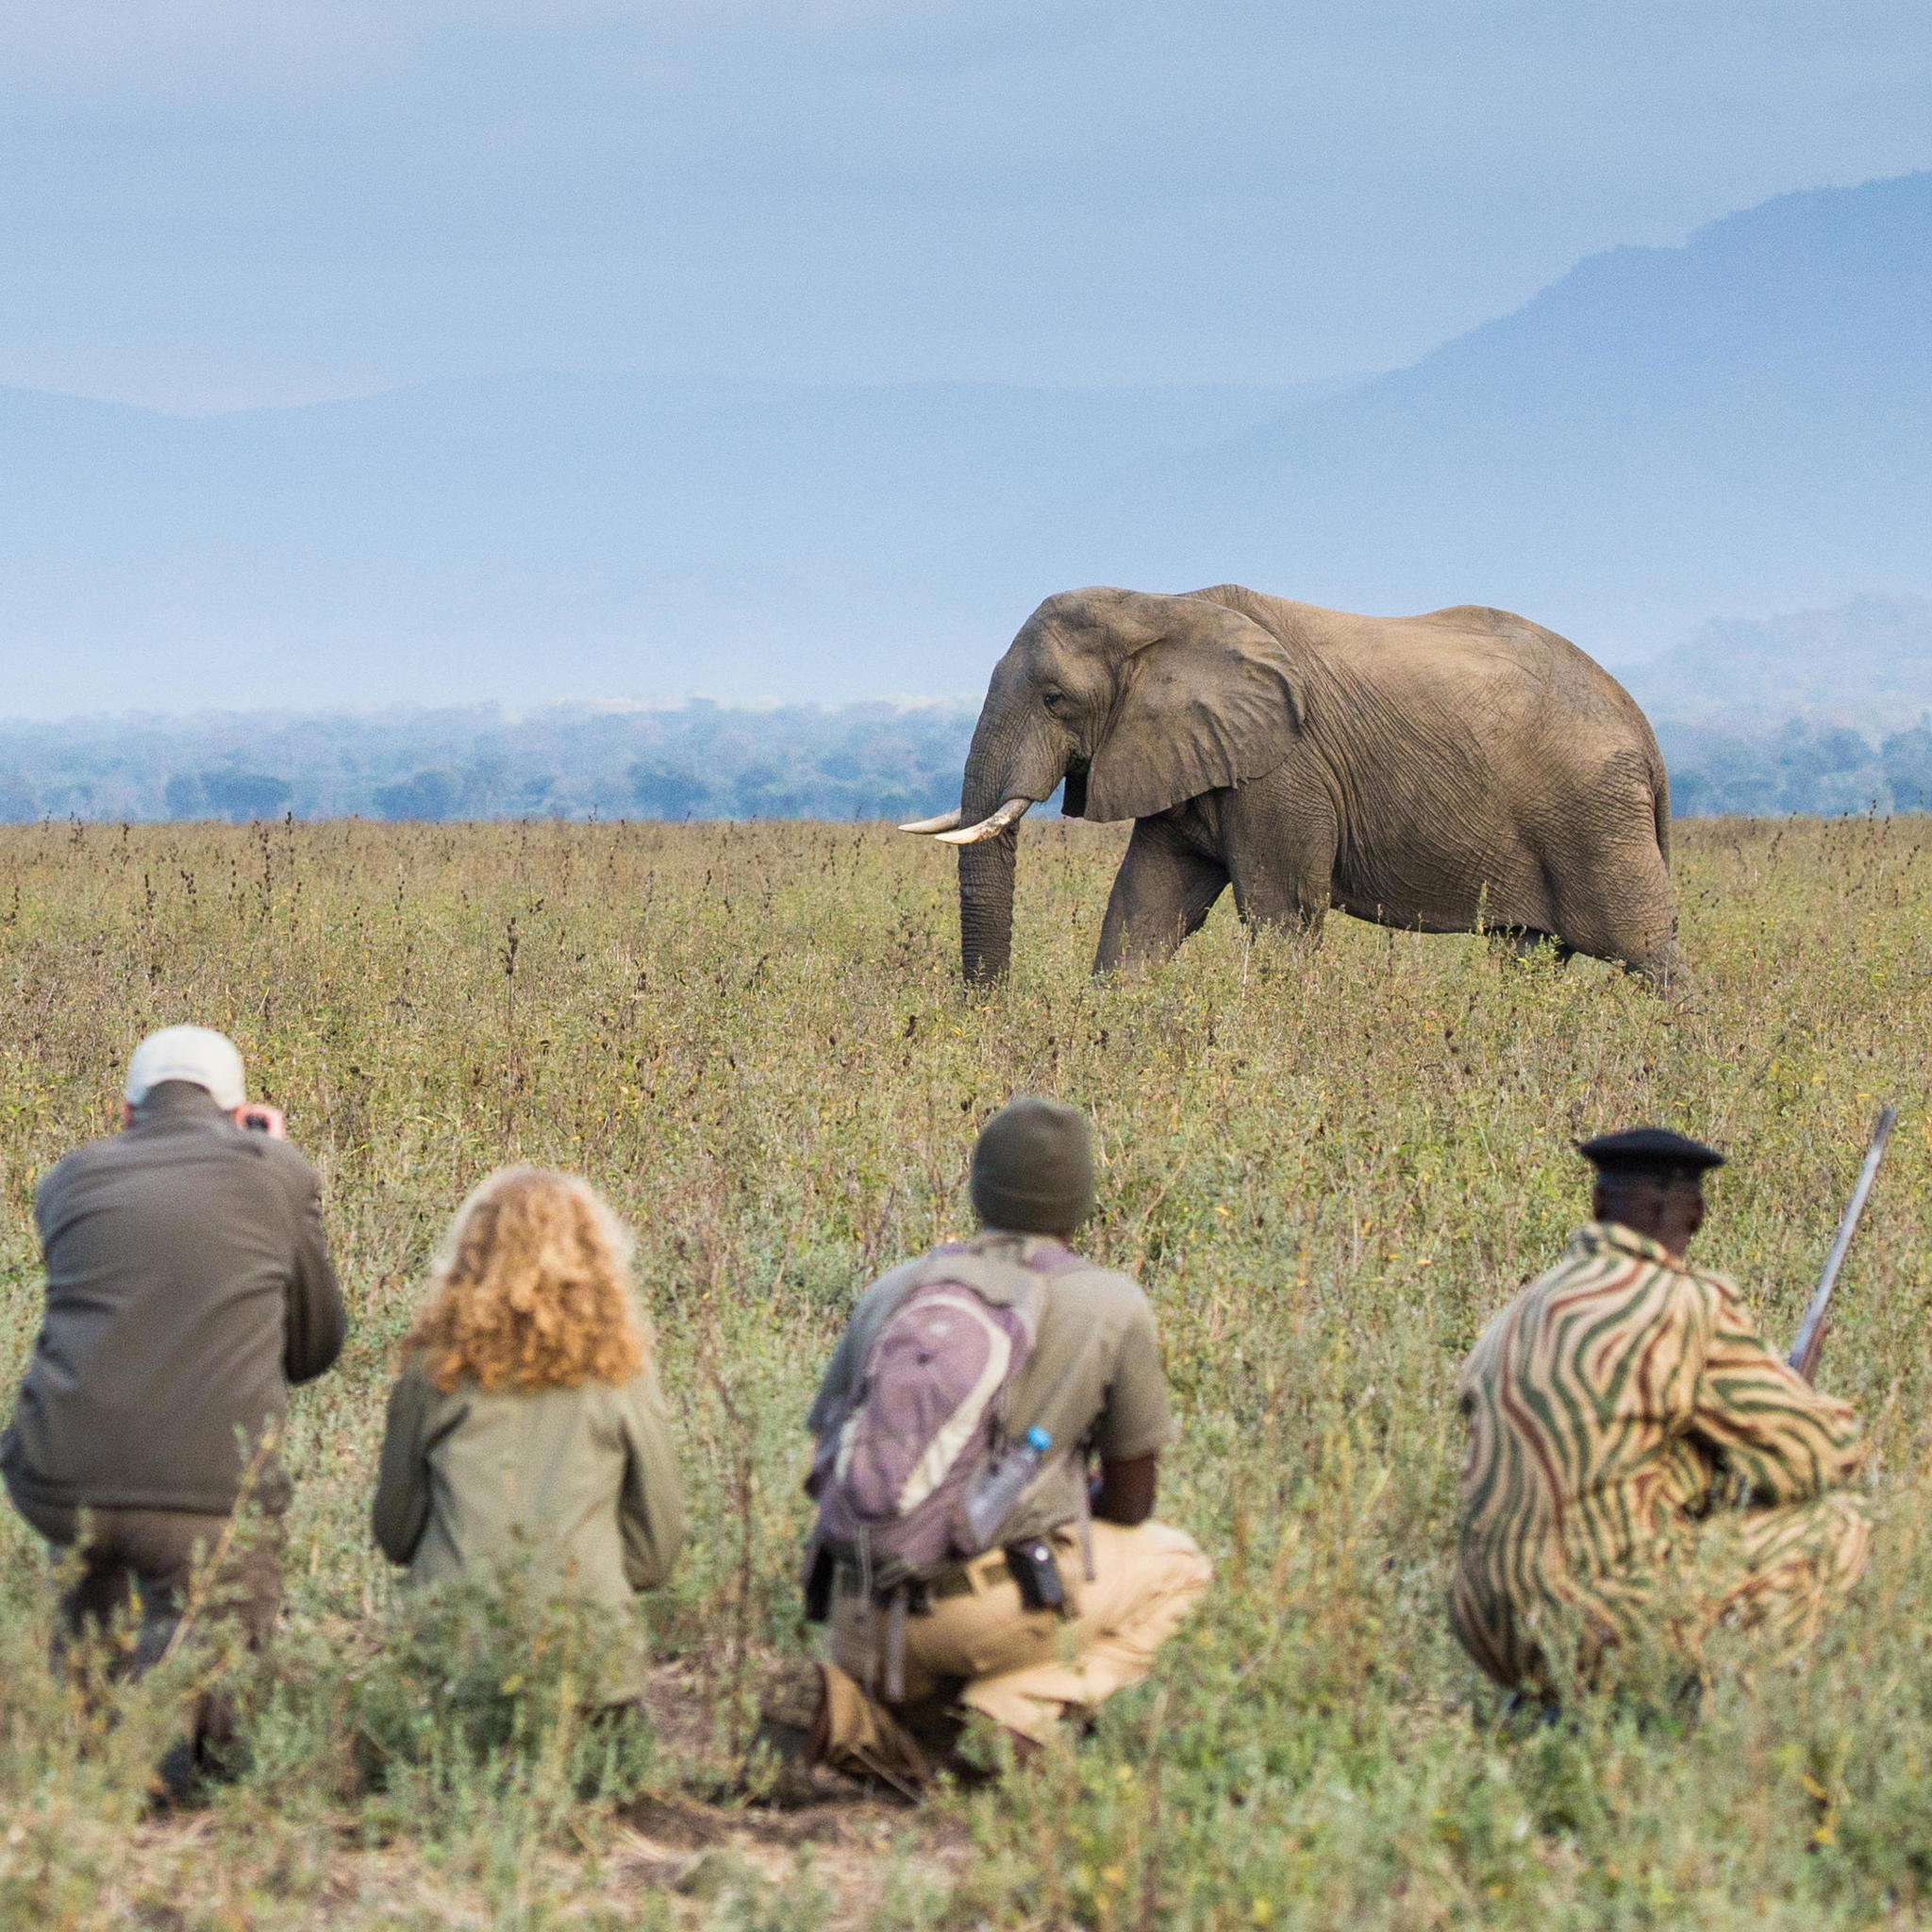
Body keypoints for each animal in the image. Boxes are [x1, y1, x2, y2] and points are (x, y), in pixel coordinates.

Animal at [900, 584, 1685, 990]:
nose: (990, 1010)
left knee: (1648, 945)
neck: (1160, 606)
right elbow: (1146, 904)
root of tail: (1645, 731)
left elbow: (1281, 911)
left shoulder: (1284, 768)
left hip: (1596, 814)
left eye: (1055, 699)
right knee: (1526, 953)